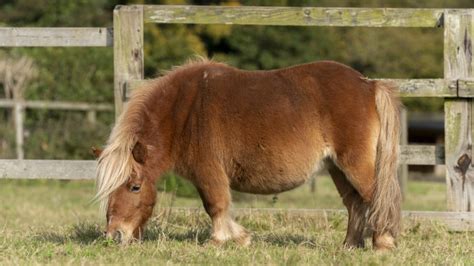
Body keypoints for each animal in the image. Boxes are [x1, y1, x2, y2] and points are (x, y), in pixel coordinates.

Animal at [94, 58, 402, 251]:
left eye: (134, 187)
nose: (114, 235)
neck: (185, 111)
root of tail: (368, 84)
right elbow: (219, 206)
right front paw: (240, 238)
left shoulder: (208, 172)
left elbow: (215, 205)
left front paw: (221, 240)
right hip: (337, 167)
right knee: (355, 202)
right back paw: (350, 245)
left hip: (354, 164)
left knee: (375, 197)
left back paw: (383, 244)